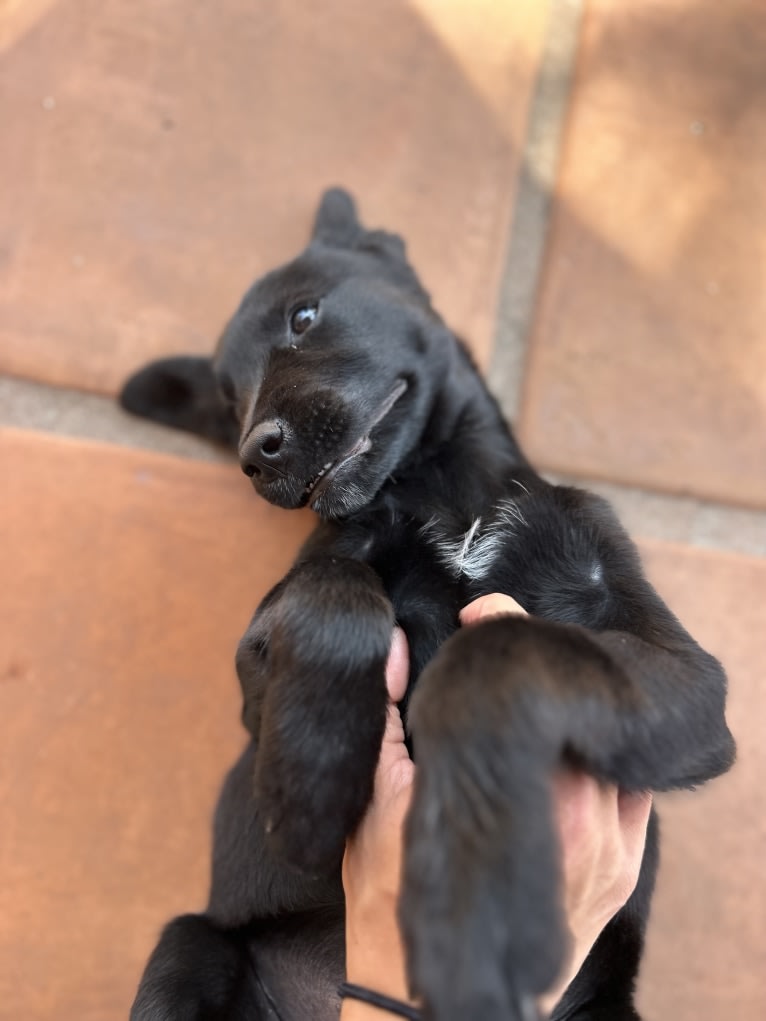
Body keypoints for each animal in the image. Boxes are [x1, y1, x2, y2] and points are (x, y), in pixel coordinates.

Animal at [121, 187, 739, 1016]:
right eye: (227, 402)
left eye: (304, 316)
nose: (255, 454)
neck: (443, 492)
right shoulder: (264, 658)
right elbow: (332, 588)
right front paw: (315, 776)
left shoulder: (689, 683)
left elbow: (502, 644)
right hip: (188, 944)